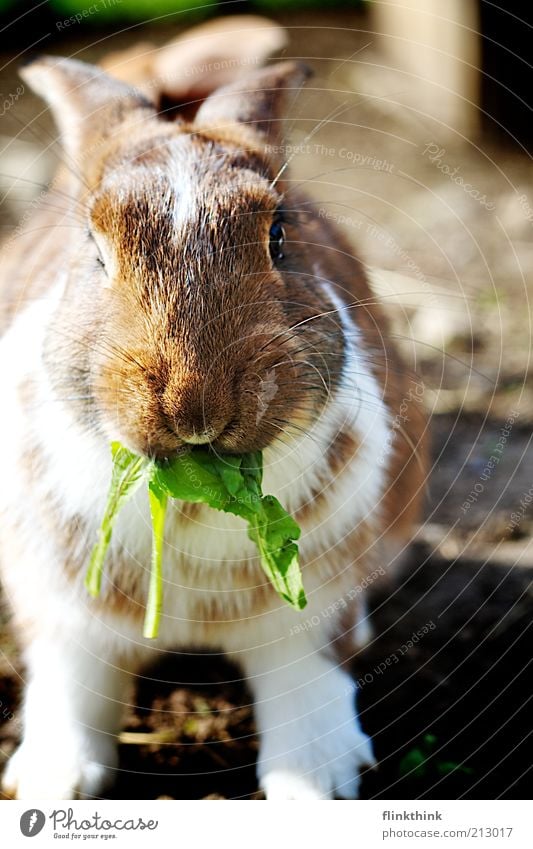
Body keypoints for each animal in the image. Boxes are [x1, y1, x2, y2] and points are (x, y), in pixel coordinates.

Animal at [0, 16, 424, 800]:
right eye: (94, 249)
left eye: (280, 235)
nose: (193, 402)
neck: (194, 498)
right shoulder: (63, 613)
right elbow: (72, 690)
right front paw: (51, 783)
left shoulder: (310, 614)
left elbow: (306, 687)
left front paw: (316, 787)